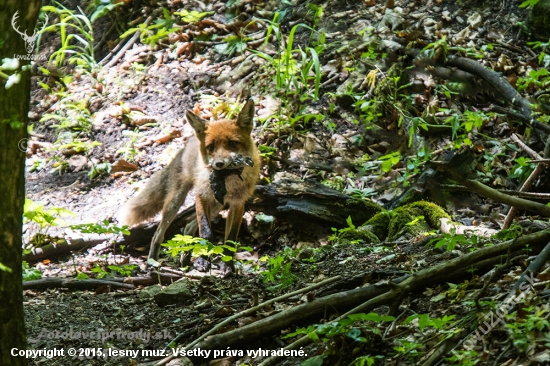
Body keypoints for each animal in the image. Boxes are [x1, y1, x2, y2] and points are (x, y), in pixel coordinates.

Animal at [119, 100, 260, 264]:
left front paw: (227, 266)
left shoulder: (238, 204)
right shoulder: (201, 196)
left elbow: (230, 241)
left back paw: (184, 259)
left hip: (217, 205)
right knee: (158, 234)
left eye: (232, 144)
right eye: (211, 147)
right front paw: (204, 259)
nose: (218, 164)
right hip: (176, 202)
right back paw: (152, 262)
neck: (228, 181)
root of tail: (186, 145)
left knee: (188, 226)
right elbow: (205, 231)